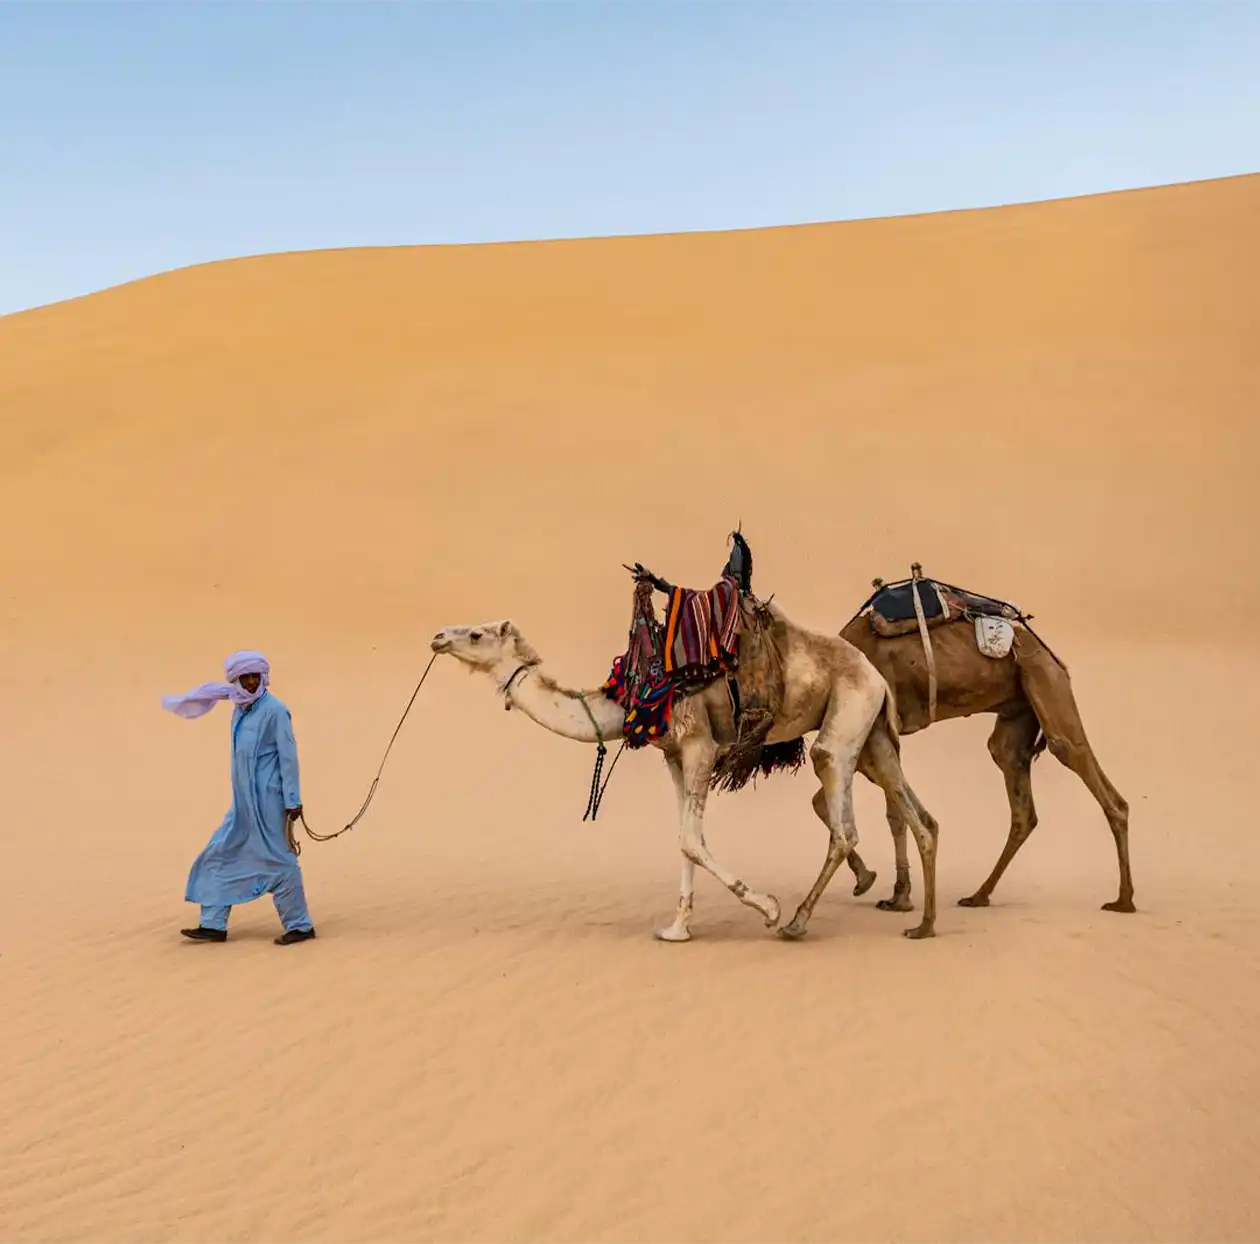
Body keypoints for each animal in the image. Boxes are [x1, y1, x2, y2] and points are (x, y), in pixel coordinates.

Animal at [430, 602, 944, 942]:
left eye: (476, 634)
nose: (437, 637)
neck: (633, 691)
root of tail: (875, 674)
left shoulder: (700, 745)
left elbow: (691, 840)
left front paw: (767, 907)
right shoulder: (673, 756)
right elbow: (682, 839)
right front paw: (677, 928)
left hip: (844, 720)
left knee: (842, 818)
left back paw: (797, 921)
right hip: (872, 732)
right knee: (918, 816)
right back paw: (921, 921)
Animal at [832, 598, 1135, 916]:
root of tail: (1051, 657)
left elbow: (888, 812)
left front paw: (895, 895)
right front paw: (886, 890)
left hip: (1047, 682)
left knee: (1085, 769)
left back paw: (1123, 900)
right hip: (1018, 711)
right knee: (1019, 797)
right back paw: (979, 895)